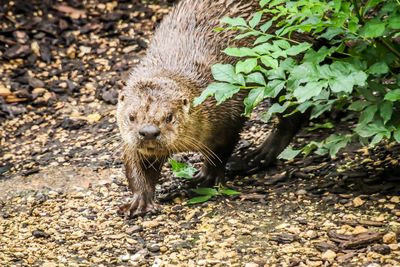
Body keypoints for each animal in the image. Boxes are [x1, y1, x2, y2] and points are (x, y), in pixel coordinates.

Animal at [115, 0, 306, 218]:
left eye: (169, 117)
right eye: (131, 117)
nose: (148, 132)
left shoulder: (229, 114)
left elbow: (221, 150)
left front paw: (207, 177)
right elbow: (137, 168)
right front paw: (139, 202)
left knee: (293, 115)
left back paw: (258, 156)